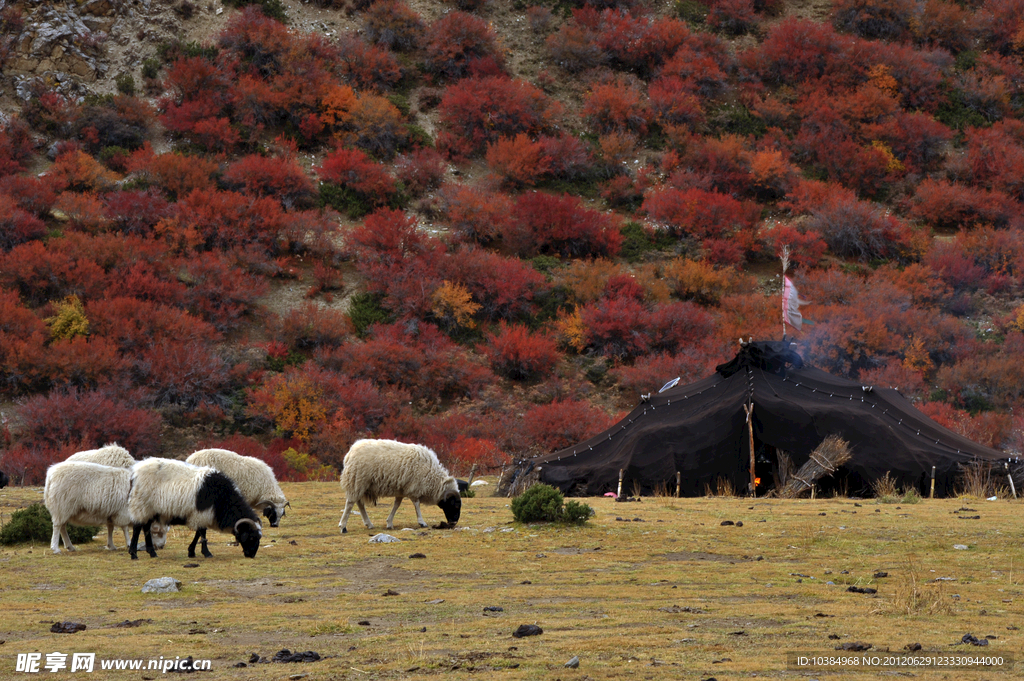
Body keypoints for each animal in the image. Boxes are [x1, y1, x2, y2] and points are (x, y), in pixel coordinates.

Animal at [127, 456, 262, 557]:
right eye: (251, 538)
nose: (251, 555)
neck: (223, 499)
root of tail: (135, 472)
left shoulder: (199, 515)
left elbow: (199, 533)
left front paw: (192, 551)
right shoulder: (201, 514)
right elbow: (202, 533)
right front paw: (205, 553)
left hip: (149, 509)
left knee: (145, 528)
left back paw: (152, 552)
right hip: (141, 504)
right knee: (137, 528)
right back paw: (133, 553)